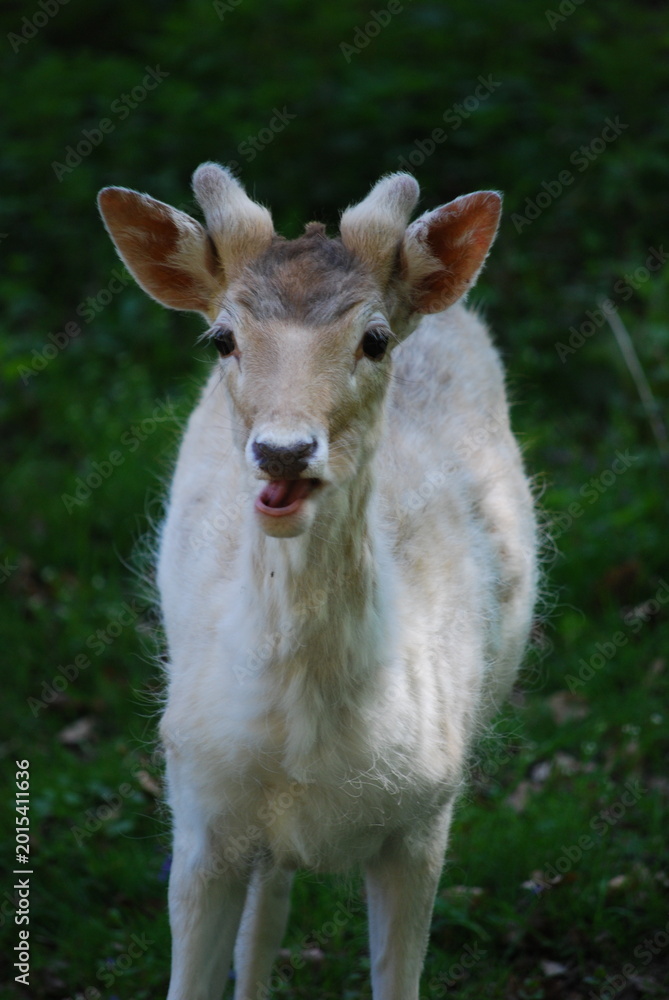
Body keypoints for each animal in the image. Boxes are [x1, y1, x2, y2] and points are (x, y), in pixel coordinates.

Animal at [97, 163, 538, 1000]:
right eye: (223, 337)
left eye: (373, 337)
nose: (283, 451)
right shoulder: (198, 806)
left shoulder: (425, 815)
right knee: (266, 913)